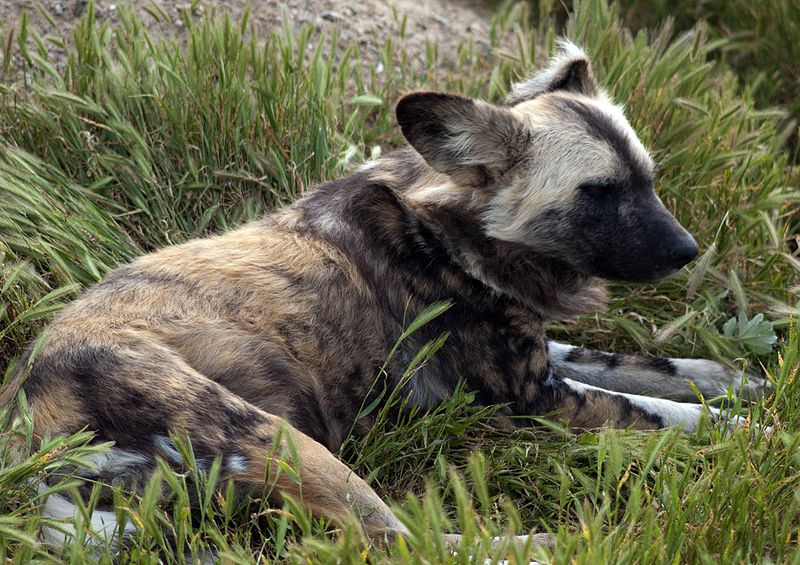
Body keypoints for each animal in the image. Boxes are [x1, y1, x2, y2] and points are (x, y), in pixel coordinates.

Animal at [2, 41, 769, 551]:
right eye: (599, 193)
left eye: (648, 180)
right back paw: (539, 544)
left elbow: (647, 367)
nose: (688, 250)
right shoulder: (536, 399)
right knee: (401, 540)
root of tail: (28, 416)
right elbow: (662, 411)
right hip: (282, 442)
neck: (448, 227)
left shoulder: (537, 355)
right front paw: (751, 433)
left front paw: (739, 381)